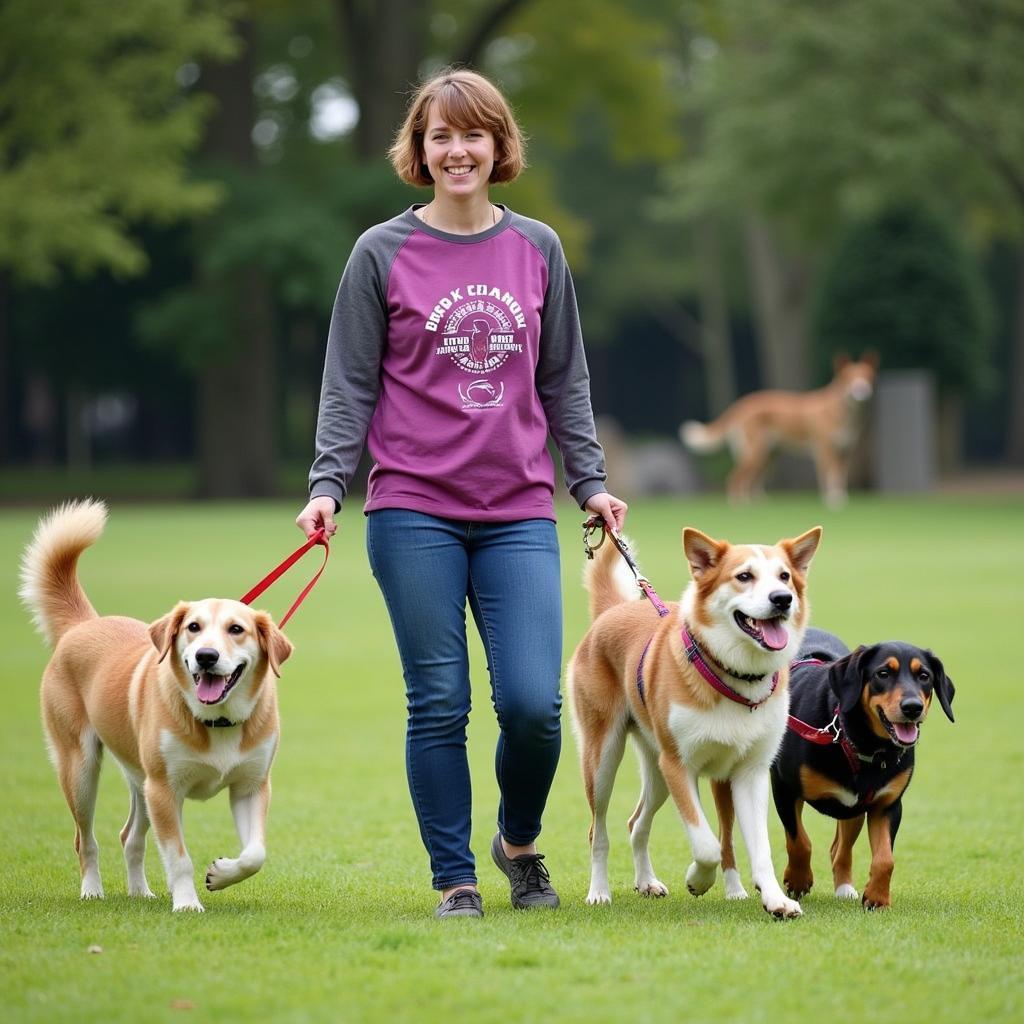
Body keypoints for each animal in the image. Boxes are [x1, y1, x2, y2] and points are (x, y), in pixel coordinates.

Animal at [569, 524, 823, 917]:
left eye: (784, 576)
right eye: (744, 576)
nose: (782, 599)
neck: (734, 676)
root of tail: (613, 611)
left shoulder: (750, 773)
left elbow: (760, 847)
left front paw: (776, 900)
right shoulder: (679, 765)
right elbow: (707, 845)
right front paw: (698, 880)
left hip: (656, 768)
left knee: (636, 823)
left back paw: (646, 881)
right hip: (603, 759)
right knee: (598, 830)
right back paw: (599, 892)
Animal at [684, 356, 876, 507]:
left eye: (866, 377)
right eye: (849, 378)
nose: (861, 391)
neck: (842, 410)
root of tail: (742, 405)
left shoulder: (845, 452)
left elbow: (840, 477)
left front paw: (841, 499)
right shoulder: (825, 450)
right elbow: (830, 476)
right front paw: (833, 501)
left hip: (768, 456)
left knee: (753, 480)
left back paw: (760, 503)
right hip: (755, 453)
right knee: (735, 478)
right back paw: (740, 505)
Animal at [770, 626, 950, 909]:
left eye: (924, 676)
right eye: (883, 673)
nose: (913, 707)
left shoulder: (887, 804)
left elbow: (885, 859)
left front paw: (877, 897)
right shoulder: (784, 787)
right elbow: (799, 841)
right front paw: (798, 879)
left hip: (853, 809)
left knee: (840, 850)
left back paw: (845, 889)